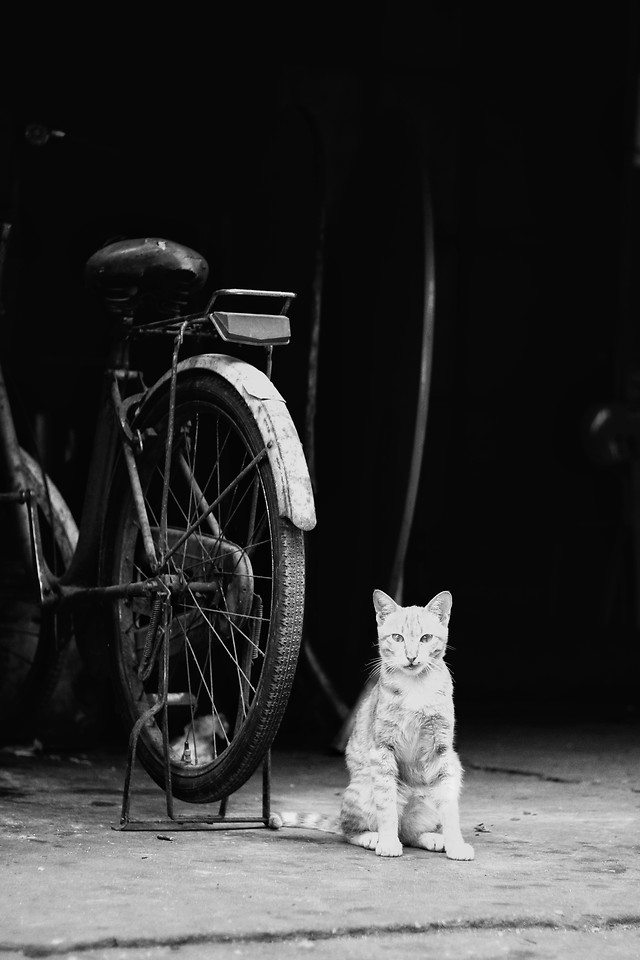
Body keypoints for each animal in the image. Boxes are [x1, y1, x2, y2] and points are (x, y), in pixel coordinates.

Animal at [272, 584, 472, 864]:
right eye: (397, 638)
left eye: (425, 638)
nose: (411, 657)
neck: (416, 688)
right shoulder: (383, 749)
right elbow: (386, 806)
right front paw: (387, 843)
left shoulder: (442, 751)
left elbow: (449, 807)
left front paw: (455, 845)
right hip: (363, 788)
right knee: (351, 829)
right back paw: (372, 837)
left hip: (450, 773)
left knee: (410, 833)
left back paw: (433, 838)